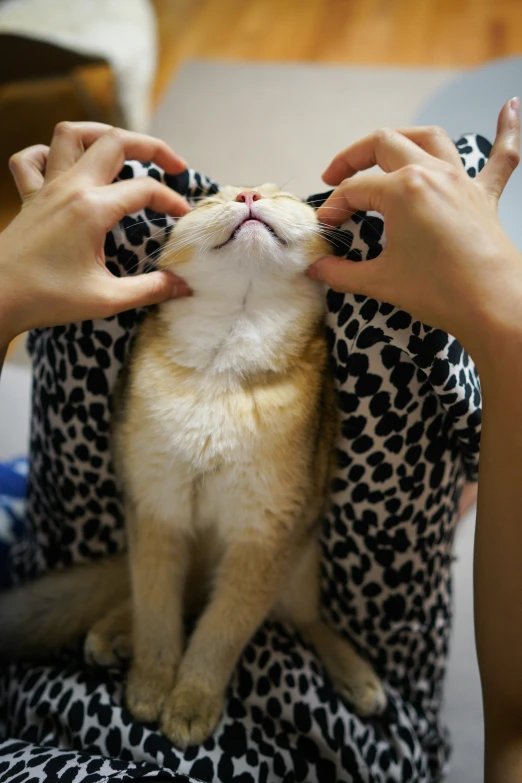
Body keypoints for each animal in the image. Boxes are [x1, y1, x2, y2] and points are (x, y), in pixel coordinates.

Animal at [0, 184, 384, 748]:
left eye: (284, 195)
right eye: (206, 202)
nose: (248, 193)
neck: (223, 363)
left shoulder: (266, 536)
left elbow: (223, 630)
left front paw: (192, 699)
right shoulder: (156, 507)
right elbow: (158, 609)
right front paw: (152, 683)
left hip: (301, 564)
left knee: (306, 620)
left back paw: (355, 674)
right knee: (161, 594)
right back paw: (116, 629)